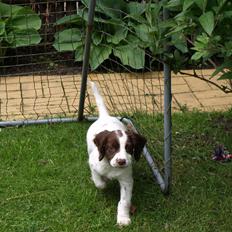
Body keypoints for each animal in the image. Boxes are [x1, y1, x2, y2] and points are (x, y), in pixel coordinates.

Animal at [86, 82, 146, 227]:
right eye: (111, 148)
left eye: (129, 148)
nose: (121, 162)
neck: (111, 167)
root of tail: (105, 116)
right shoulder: (92, 163)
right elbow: (99, 183)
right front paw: (102, 181)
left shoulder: (126, 180)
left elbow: (124, 201)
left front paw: (123, 218)